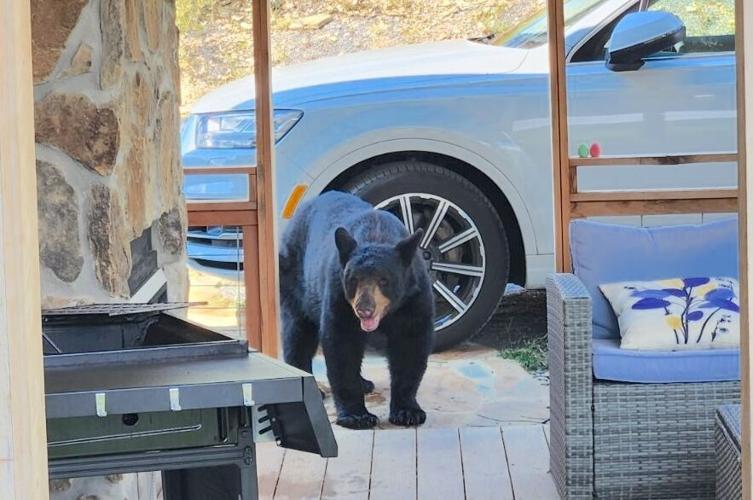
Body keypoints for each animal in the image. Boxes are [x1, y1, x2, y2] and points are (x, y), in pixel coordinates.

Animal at [279, 191, 435, 429]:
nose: (364, 309)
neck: (377, 235)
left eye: (384, 280)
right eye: (353, 279)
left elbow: (410, 345)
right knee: (298, 332)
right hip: (295, 278)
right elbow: (342, 343)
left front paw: (408, 411)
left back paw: (364, 383)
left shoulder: (413, 298)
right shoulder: (339, 295)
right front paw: (357, 416)